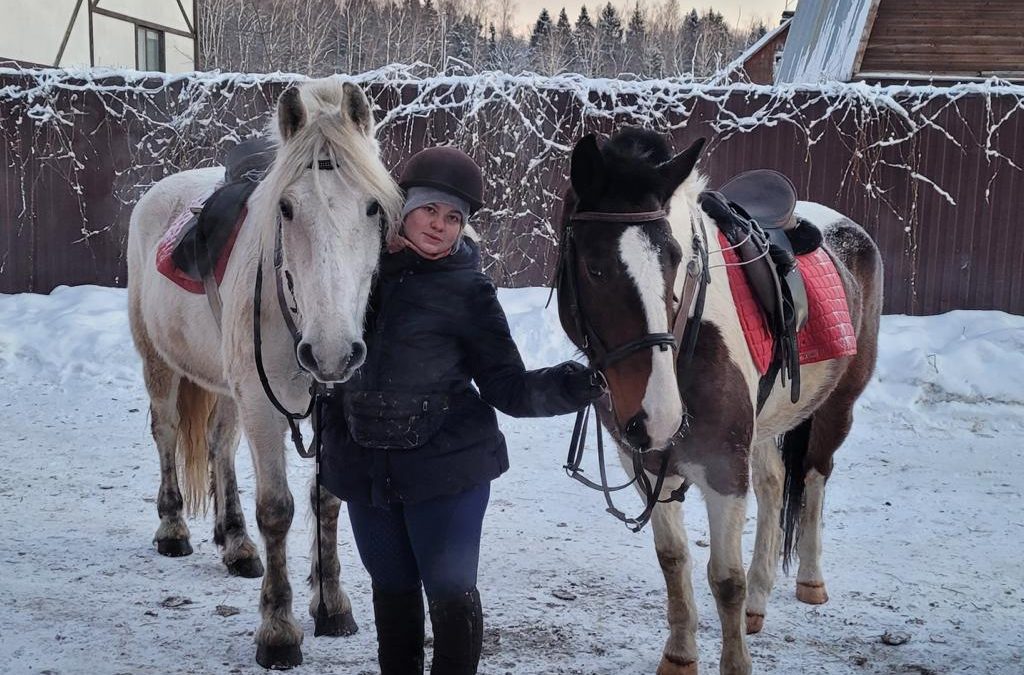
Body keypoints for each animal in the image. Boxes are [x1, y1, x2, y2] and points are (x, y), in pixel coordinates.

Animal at [125, 80, 401, 671]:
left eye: (372, 206)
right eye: (287, 208)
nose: (331, 351)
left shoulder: (327, 407)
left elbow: (327, 500)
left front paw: (331, 604)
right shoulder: (263, 407)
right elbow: (277, 509)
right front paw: (278, 630)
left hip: (227, 385)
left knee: (219, 444)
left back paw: (235, 542)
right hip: (160, 364)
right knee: (166, 434)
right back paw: (173, 528)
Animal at [557, 128, 884, 675]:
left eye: (676, 260)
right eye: (595, 268)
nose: (661, 416)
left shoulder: (724, 469)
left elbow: (725, 579)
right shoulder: (647, 462)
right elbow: (673, 559)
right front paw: (679, 655)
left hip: (835, 408)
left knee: (814, 478)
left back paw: (810, 580)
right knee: (775, 485)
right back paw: (759, 600)